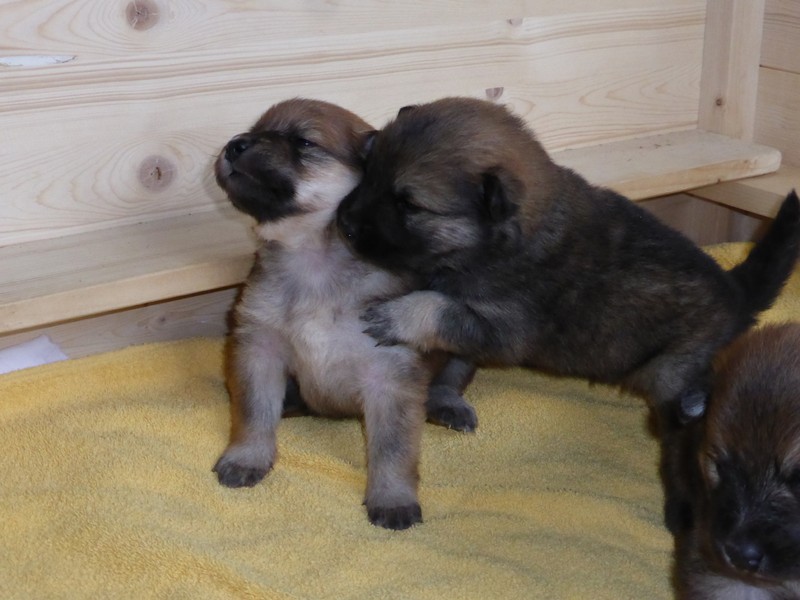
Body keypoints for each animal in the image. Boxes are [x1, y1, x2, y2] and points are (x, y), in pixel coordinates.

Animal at [211, 98, 476, 530]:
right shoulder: (259, 350)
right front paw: (247, 457)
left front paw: (392, 498)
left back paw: (447, 405)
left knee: (449, 380)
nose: (234, 145)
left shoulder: (390, 378)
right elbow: (253, 414)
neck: (313, 263)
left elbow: (392, 450)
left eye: (303, 141)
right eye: (253, 131)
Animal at [337, 97, 800, 434]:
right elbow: (449, 357)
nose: (343, 222)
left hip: (675, 364)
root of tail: (735, 290)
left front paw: (395, 316)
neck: (500, 241)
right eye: (368, 171)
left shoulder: (502, 326)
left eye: (409, 204)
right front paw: (441, 396)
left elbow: (434, 309)